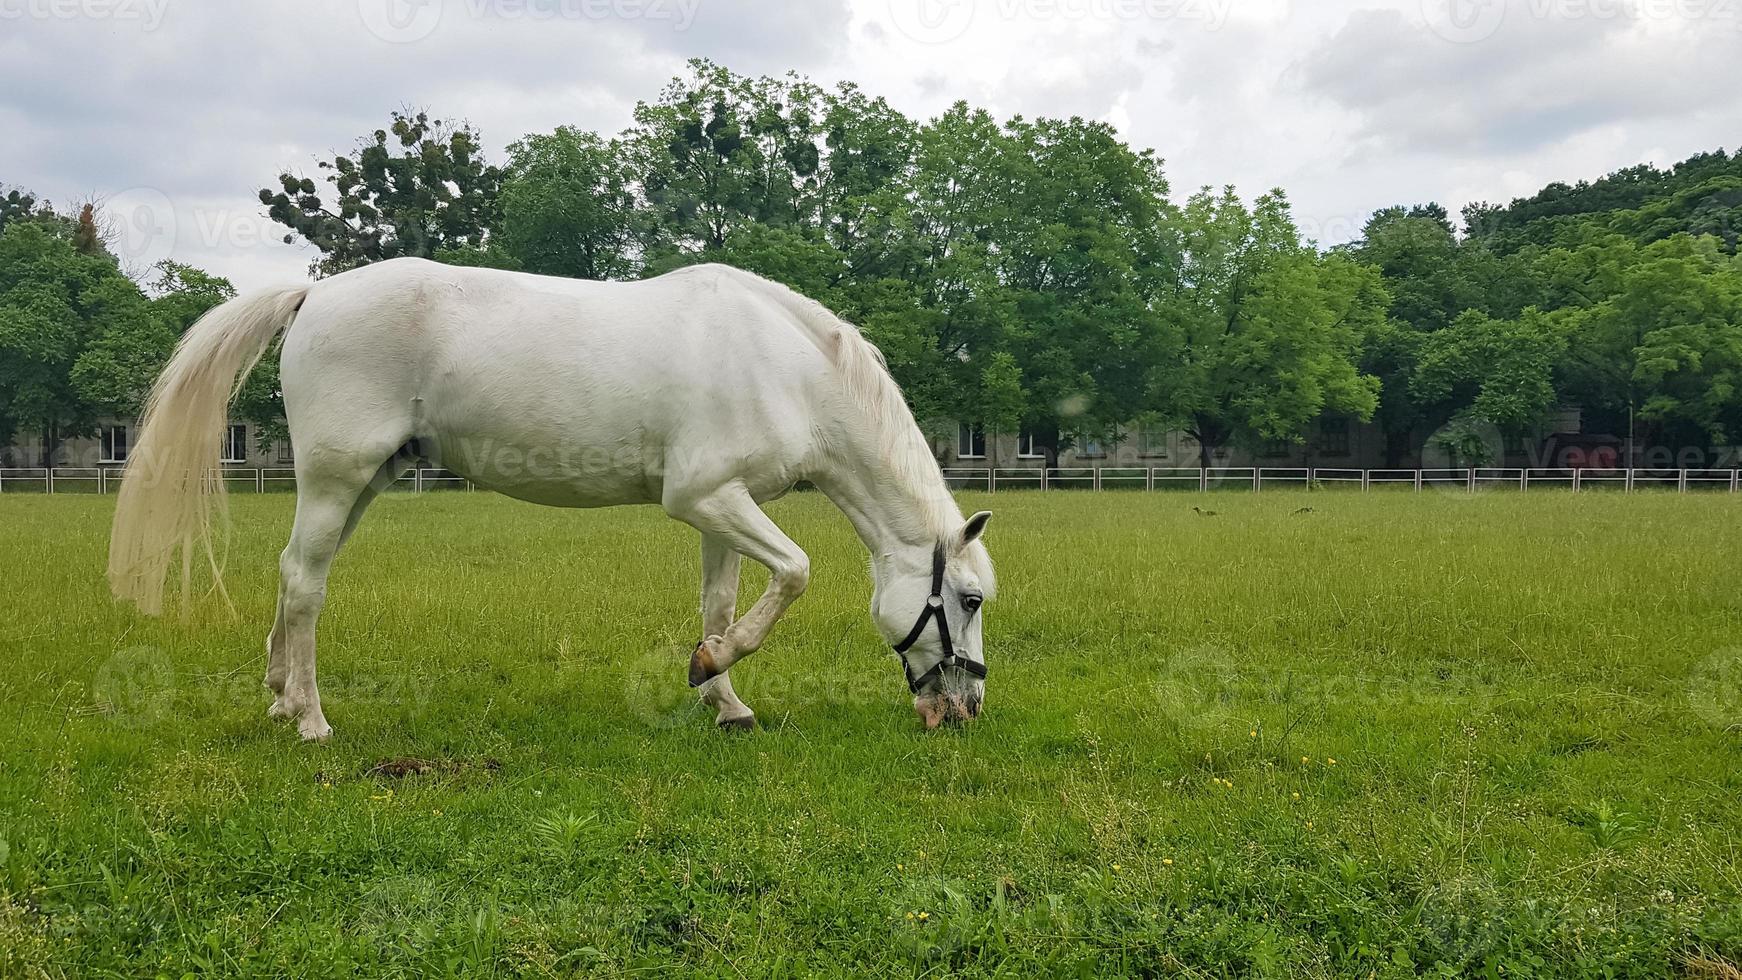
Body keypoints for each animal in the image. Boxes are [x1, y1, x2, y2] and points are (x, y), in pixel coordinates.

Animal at [112, 257, 996, 741]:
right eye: (969, 599)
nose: (966, 708)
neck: (786, 367)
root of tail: (312, 296)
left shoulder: (723, 508)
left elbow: (722, 602)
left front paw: (723, 696)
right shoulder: (703, 498)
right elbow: (797, 572)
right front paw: (712, 669)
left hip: (361, 483)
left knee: (295, 574)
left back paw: (276, 697)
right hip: (336, 479)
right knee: (304, 584)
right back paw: (310, 719)